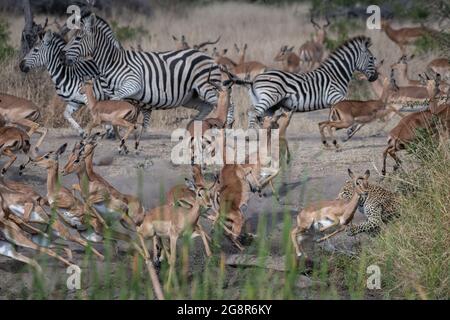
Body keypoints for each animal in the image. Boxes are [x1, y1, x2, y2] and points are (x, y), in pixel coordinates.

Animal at [61, 13, 232, 129]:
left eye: (78, 38)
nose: (62, 56)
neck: (112, 62)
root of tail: (209, 57)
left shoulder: (133, 84)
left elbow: (116, 102)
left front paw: (110, 127)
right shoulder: (111, 91)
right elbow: (112, 105)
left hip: (206, 86)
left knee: (227, 103)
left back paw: (227, 125)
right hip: (191, 96)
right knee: (207, 106)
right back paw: (194, 124)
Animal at [243, 35, 376, 126]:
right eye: (371, 58)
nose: (376, 77)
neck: (336, 74)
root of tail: (254, 80)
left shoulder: (332, 103)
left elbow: (332, 119)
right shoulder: (335, 96)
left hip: (265, 103)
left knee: (258, 116)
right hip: (269, 97)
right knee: (253, 113)